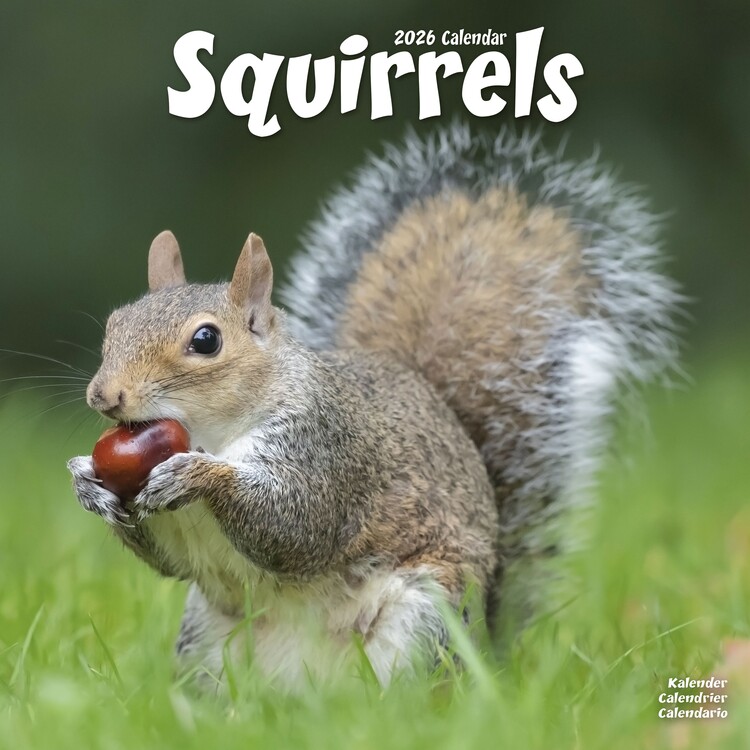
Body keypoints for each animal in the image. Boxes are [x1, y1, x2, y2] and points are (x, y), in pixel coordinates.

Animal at [67, 125, 679, 691]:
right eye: (116, 322)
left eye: (205, 340)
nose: (104, 396)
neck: (211, 431)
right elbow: (167, 560)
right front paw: (87, 481)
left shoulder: (326, 447)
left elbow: (295, 525)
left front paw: (198, 475)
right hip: (206, 638)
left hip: (425, 617)